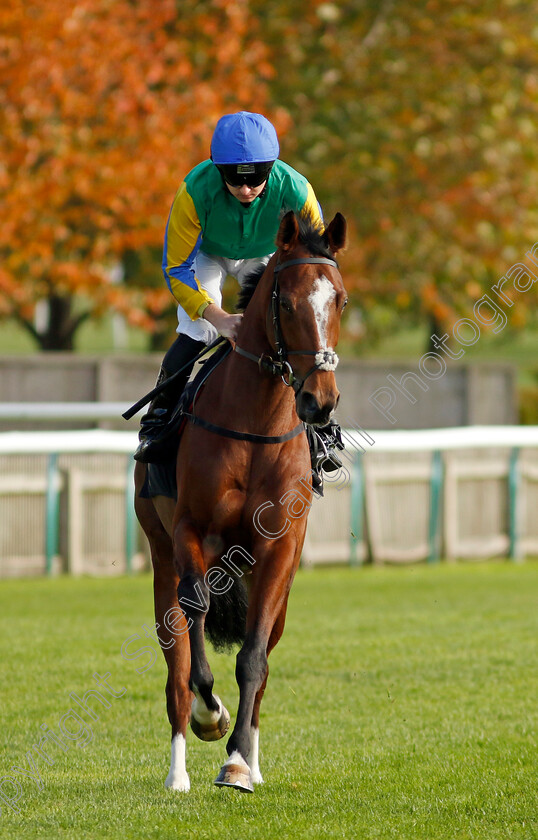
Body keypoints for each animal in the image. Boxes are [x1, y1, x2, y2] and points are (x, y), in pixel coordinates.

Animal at [132, 210, 346, 796]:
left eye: (340, 300)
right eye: (287, 303)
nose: (320, 401)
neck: (255, 426)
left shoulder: (278, 550)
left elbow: (253, 660)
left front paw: (236, 764)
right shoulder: (190, 532)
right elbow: (196, 630)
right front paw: (212, 720)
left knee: (264, 657)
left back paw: (250, 757)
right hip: (160, 557)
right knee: (176, 669)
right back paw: (178, 771)